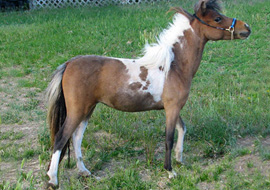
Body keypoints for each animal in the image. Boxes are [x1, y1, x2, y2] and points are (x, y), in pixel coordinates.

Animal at [45, 0, 250, 187]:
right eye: (217, 18)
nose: (246, 28)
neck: (173, 66)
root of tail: (69, 63)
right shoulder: (172, 108)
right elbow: (169, 138)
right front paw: (170, 171)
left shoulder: (174, 108)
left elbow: (182, 129)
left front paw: (179, 159)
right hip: (78, 110)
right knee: (61, 139)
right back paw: (53, 180)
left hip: (88, 109)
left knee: (76, 138)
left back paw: (84, 171)